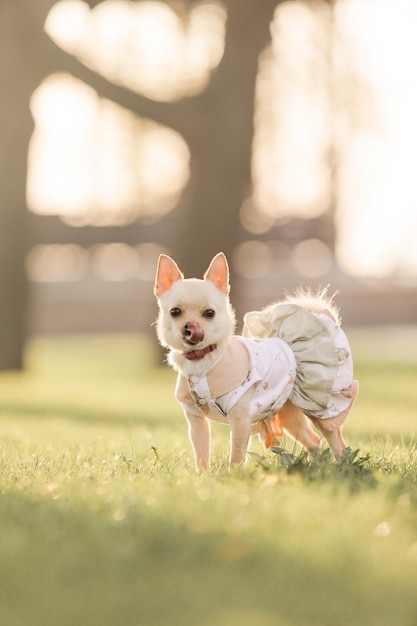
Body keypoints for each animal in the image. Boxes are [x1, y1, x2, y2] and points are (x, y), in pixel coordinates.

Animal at [154, 250, 356, 468]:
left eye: (209, 313)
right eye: (175, 312)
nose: (190, 327)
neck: (204, 361)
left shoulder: (240, 420)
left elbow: (236, 456)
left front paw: (233, 474)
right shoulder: (197, 421)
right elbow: (201, 455)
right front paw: (204, 474)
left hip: (321, 411)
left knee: (336, 441)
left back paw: (343, 467)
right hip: (290, 415)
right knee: (313, 441)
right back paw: (317, 466)